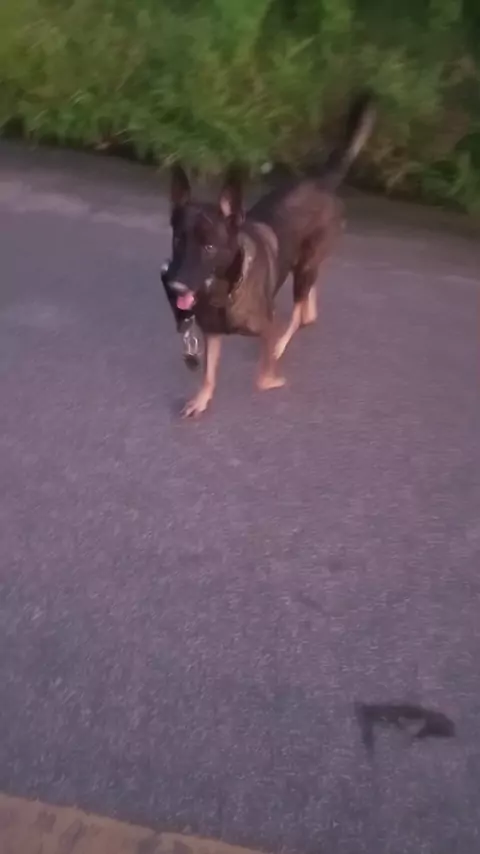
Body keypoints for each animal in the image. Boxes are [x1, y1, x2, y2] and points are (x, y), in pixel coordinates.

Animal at [163, 92, 376, 417]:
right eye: (178, 240)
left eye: (209, 247)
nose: (175, 286)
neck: (226, 289)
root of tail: (322, 182)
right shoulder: (212, 336)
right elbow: (209, 374)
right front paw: (202, 399)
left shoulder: (265, 326)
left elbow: (263, 377)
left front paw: (273, 378)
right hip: (306, 264)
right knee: (310, 291)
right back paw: (310, 311)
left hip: (304, 267)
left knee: (298, 310)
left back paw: (288, 335)